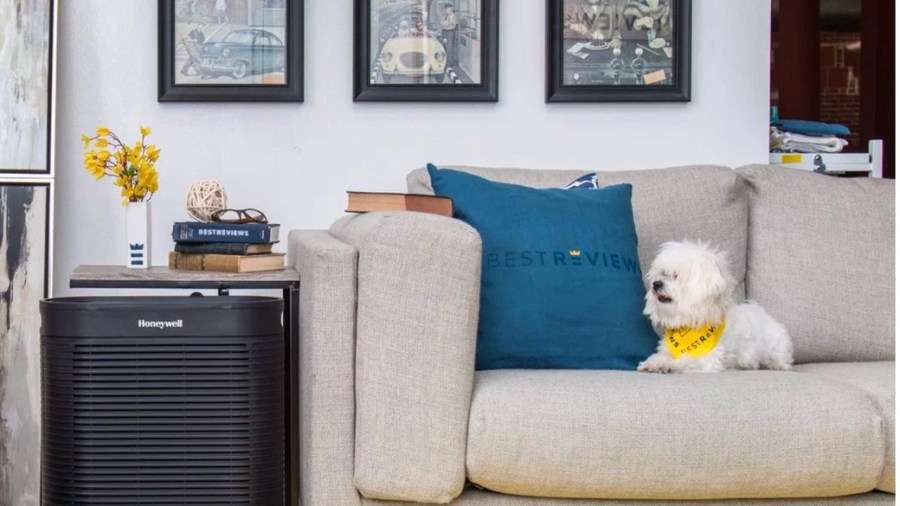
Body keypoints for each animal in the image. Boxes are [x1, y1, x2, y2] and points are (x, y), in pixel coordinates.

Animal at [636, 239, 792, 374]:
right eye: (663, 273)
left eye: (676, 276)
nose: (656, 284)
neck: (694, 323)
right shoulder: (667, 349)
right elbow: (660, 356)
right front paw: (652, 363)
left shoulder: (707, 359)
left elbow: (685, 360)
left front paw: (667, 365)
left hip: (776, 347)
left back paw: (776, 364)